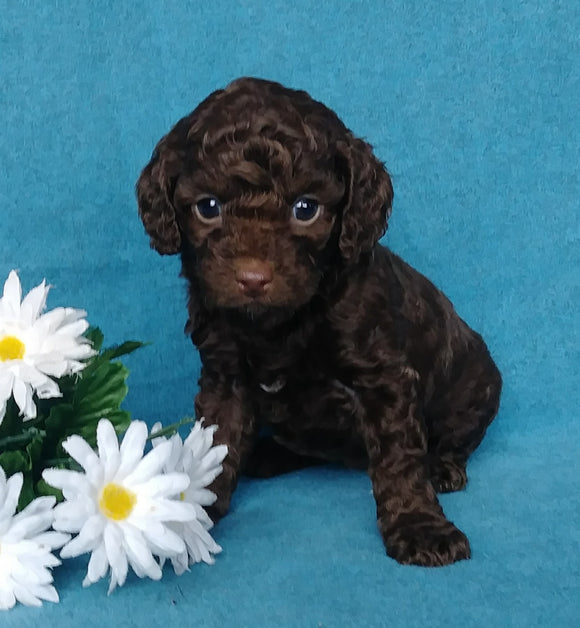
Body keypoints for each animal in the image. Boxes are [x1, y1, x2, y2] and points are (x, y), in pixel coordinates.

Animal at [137, 76, 502, 568]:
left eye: (305, 208)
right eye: (208, 207)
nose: (253, 278)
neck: (279, 324)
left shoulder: (383, 378)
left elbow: (400, 460)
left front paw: (419, 526)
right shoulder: (225, 378)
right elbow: (215, 446)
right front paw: (189, 515)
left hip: (476, 385)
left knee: (456, 437)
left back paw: (442, 466)